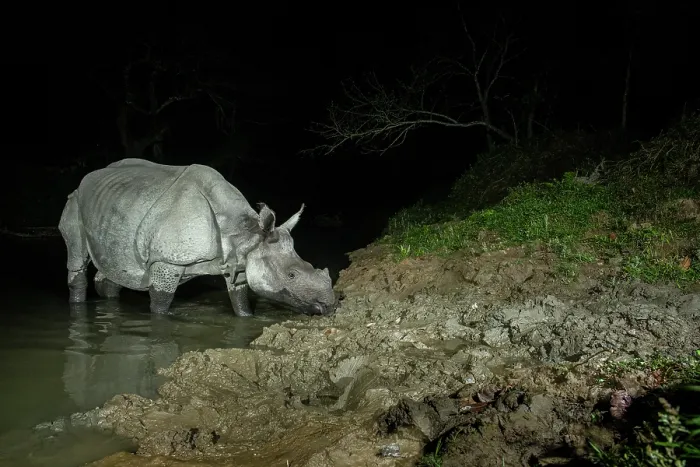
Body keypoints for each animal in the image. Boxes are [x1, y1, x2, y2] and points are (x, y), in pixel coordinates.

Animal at [58, 158, 337, 317]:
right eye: (291, 275)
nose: (330, 305)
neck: (246, 235)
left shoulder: (237, 260)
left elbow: (240, 300)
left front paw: (246, 315)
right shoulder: (167, 261)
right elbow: (161, 303)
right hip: (74, 202)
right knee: (77, 255)